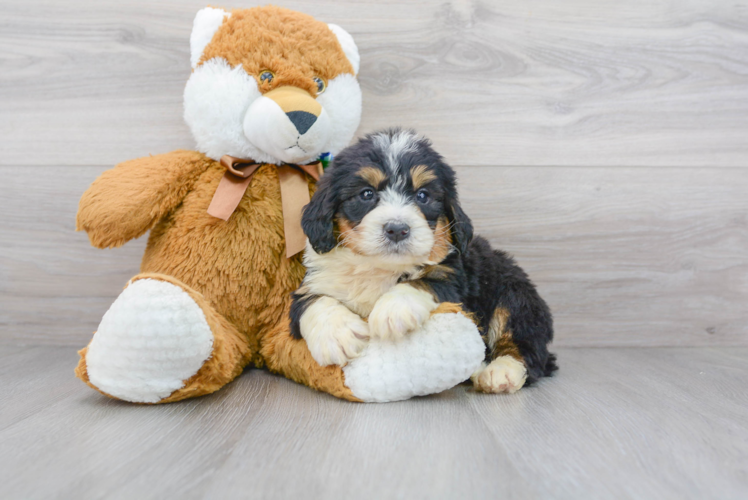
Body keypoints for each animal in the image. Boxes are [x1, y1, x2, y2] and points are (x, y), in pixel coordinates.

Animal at [290, 127, 560, 392]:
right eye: (367, 194)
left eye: (422, 196)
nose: (397, 229)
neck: (379, 268)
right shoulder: (312, 282)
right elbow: (314, 300)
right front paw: (338, 335)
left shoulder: (455, 280)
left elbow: (423, 282)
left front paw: (392, 310)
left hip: (515, 295)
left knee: (525, 347)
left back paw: (500, 372)